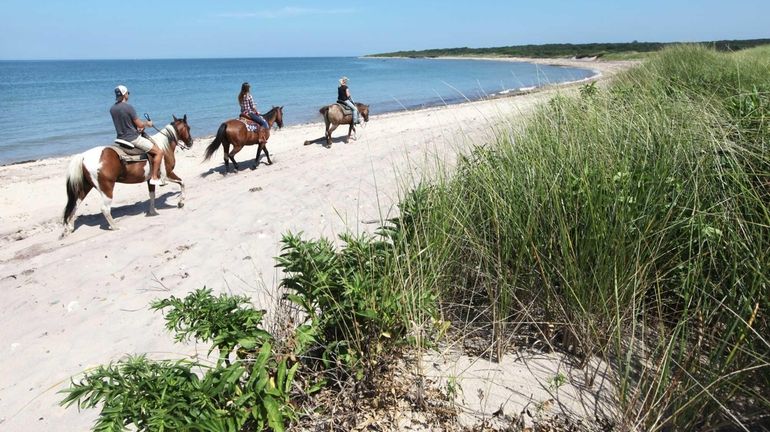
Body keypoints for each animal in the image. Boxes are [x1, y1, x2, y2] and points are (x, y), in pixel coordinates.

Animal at [61, 115, 194, 236]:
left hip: (85, 187)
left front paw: (152, 212)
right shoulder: (167, 175)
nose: (191, 142)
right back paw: (115, 227)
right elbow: (182, 182)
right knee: (105, 209)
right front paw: (181, 202)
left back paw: (70, 228)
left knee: (75, 205)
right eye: (188, 127)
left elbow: (152, 195)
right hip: (107, 188)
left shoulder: (150, 180)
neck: (163, 147)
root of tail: (83, 156)